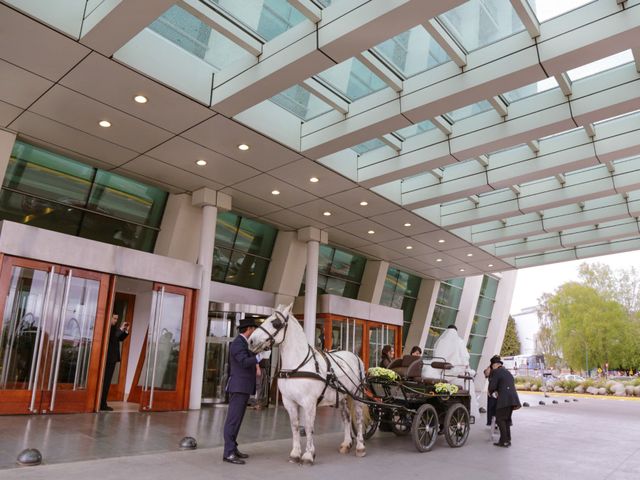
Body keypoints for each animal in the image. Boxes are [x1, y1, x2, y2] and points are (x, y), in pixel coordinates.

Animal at [249, 304, 368, 464]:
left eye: (275, 323)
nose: (251, 341)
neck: (297, 366)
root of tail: (354, 355)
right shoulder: (289, 402)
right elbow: (294, 426)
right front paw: (295, 453)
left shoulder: (309, 403)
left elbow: (309, 427)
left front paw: (308, 454)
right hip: (343, 396)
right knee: (347, 418)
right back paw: (346, 443)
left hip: (356, 395)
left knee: (359, 419)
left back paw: (360, 446)